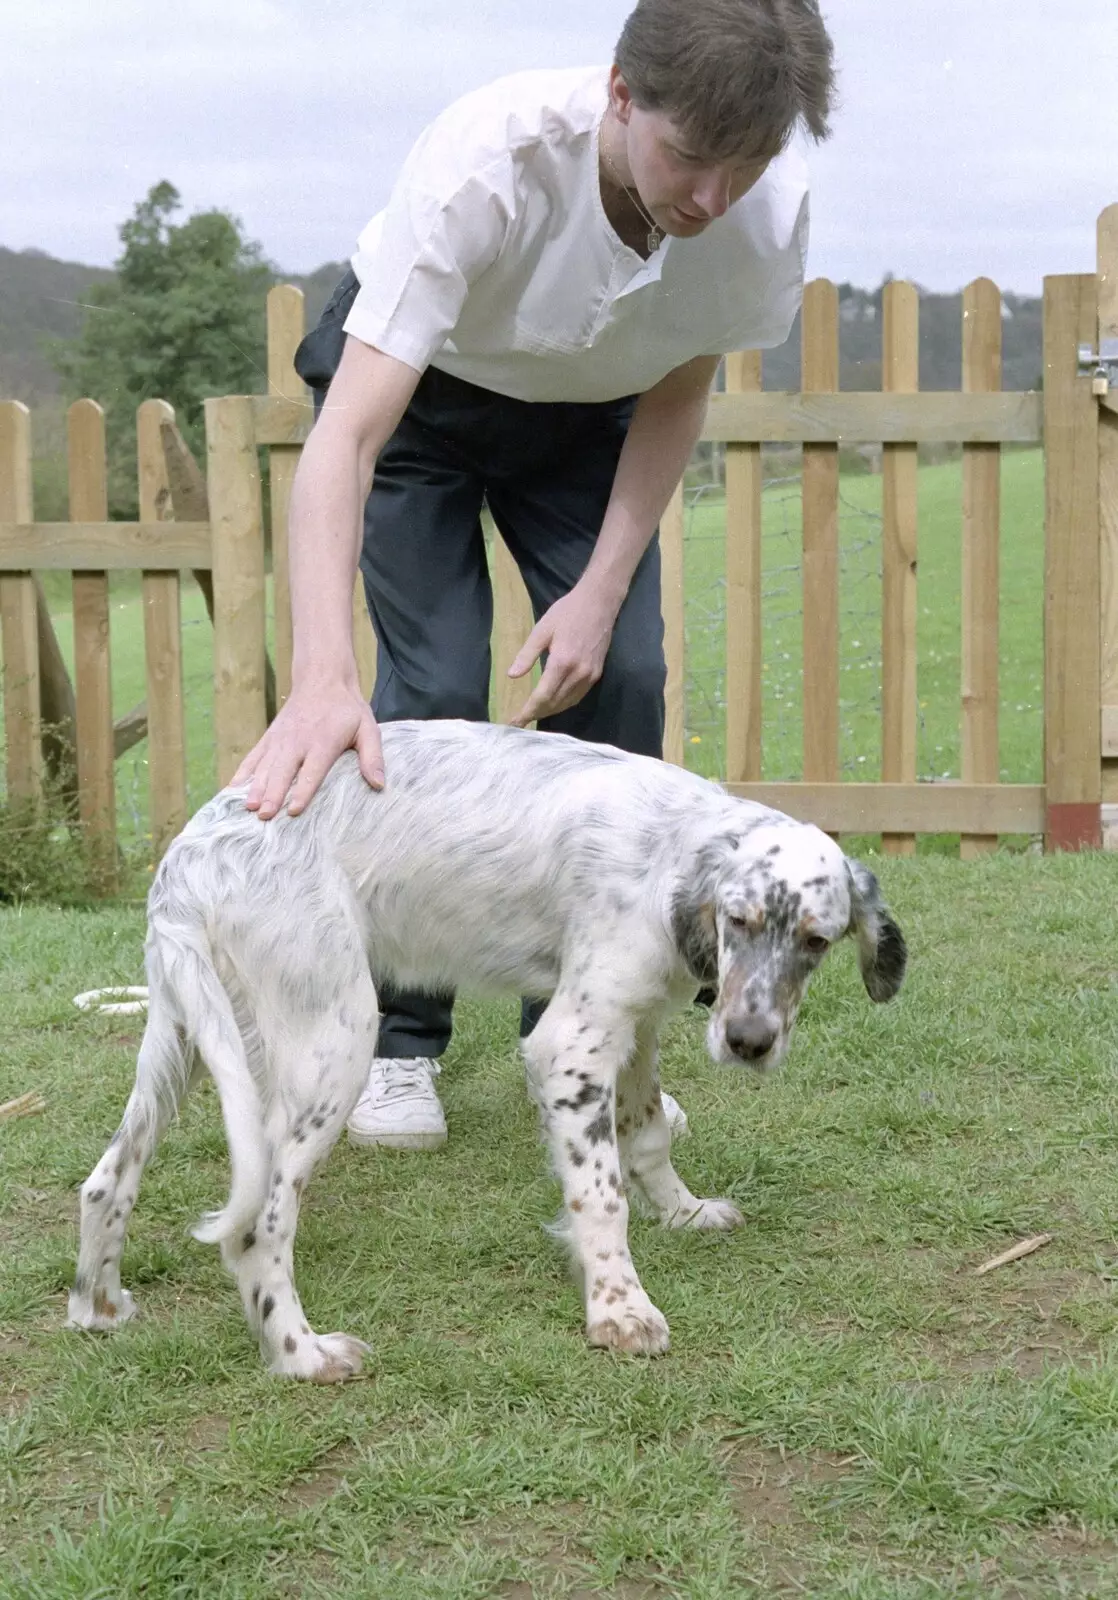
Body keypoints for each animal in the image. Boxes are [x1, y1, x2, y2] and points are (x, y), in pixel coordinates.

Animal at [67, 723, 908, 1376]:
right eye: (739, 920)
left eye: (817, 941)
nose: (748, 1043)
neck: (675, 851)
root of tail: (190, 857)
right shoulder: (569, 1047)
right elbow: (601, 1192)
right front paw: (618, 1308)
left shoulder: (633, 1029)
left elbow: (647, 1138)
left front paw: (685, 1212)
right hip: (332, 1044)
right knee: (256, 1228)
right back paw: (302, 1355)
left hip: (186, 1037)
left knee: (106, 1179)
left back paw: (97, 1308)